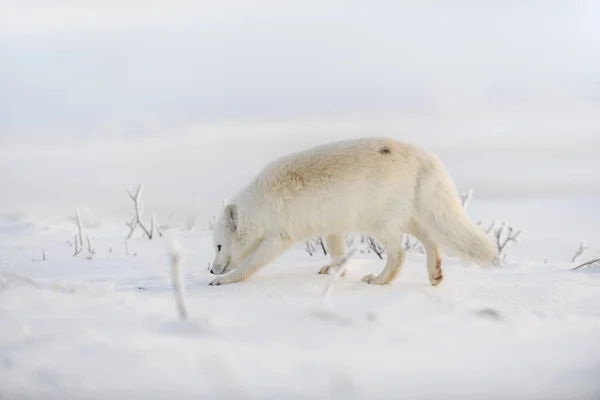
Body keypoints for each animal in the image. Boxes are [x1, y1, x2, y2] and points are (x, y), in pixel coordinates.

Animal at [209, 139, 500, 286]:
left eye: (219, 246)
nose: (211, 270)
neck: (263, 204)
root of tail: (425, 157)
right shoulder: (331, 226)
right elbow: (338, 253)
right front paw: (335, 270)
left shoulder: (279, 237)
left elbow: (250, 264)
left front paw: (226, 280)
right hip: (405, 219)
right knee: (429, 239)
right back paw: (435, 273)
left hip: (382, 224)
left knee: (399, 254)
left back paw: (380, 280)